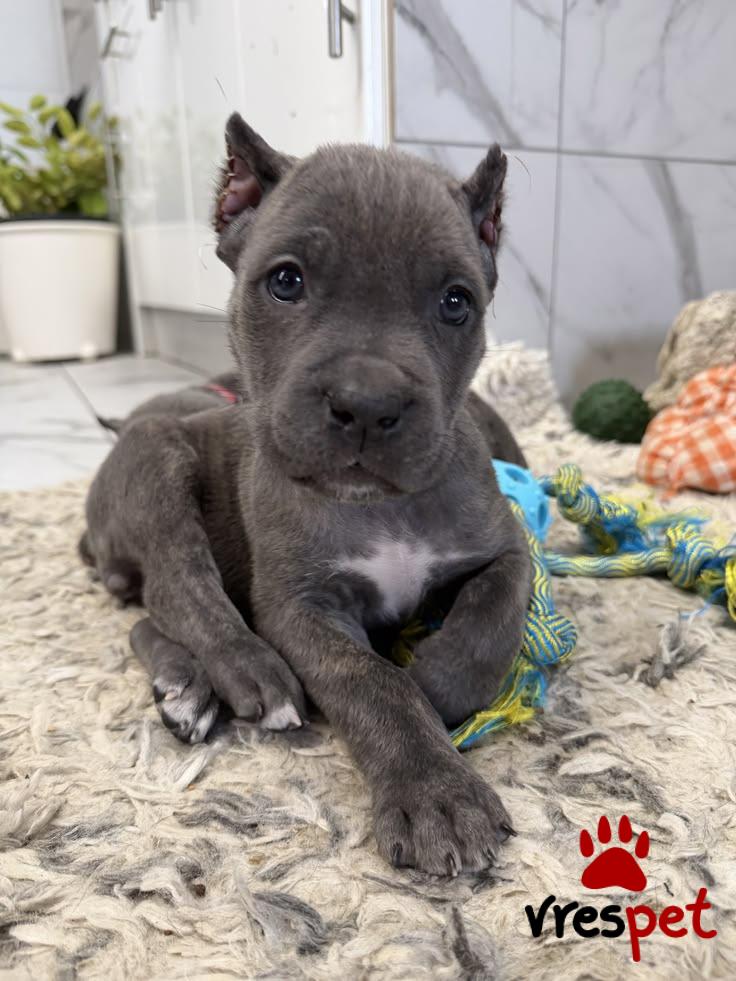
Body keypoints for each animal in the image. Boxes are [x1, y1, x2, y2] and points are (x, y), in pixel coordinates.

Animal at [81, 114, 532, 876]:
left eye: (456, 302)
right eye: (286, 281)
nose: (368, 403)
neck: (378, 505)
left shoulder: (506, 547)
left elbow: (492, 621)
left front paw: (438, 683)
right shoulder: (301, 608)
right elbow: (369, 682)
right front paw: (436, 791)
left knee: (146, 615)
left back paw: (185, 689)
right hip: (159, 457)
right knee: (179, 585)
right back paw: (245, 673)